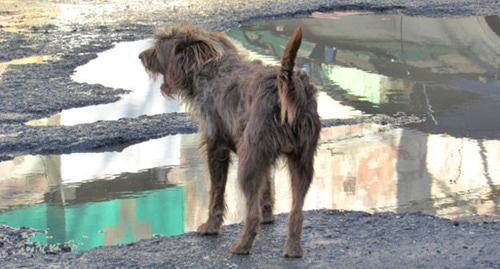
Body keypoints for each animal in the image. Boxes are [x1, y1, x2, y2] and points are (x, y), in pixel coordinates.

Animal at [141, 25, 320, 258]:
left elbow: (216, 192)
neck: (208, 69)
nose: (141, 56)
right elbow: (266, 187)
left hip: (248, 166)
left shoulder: (217, 147)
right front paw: (268, 215)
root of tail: (286, 83)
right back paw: (292, 247)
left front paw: (210, 226)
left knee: (251, 214)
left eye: (158, 48)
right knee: (297, 211)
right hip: (301, 162)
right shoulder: (262, 159)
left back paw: (242, 245)